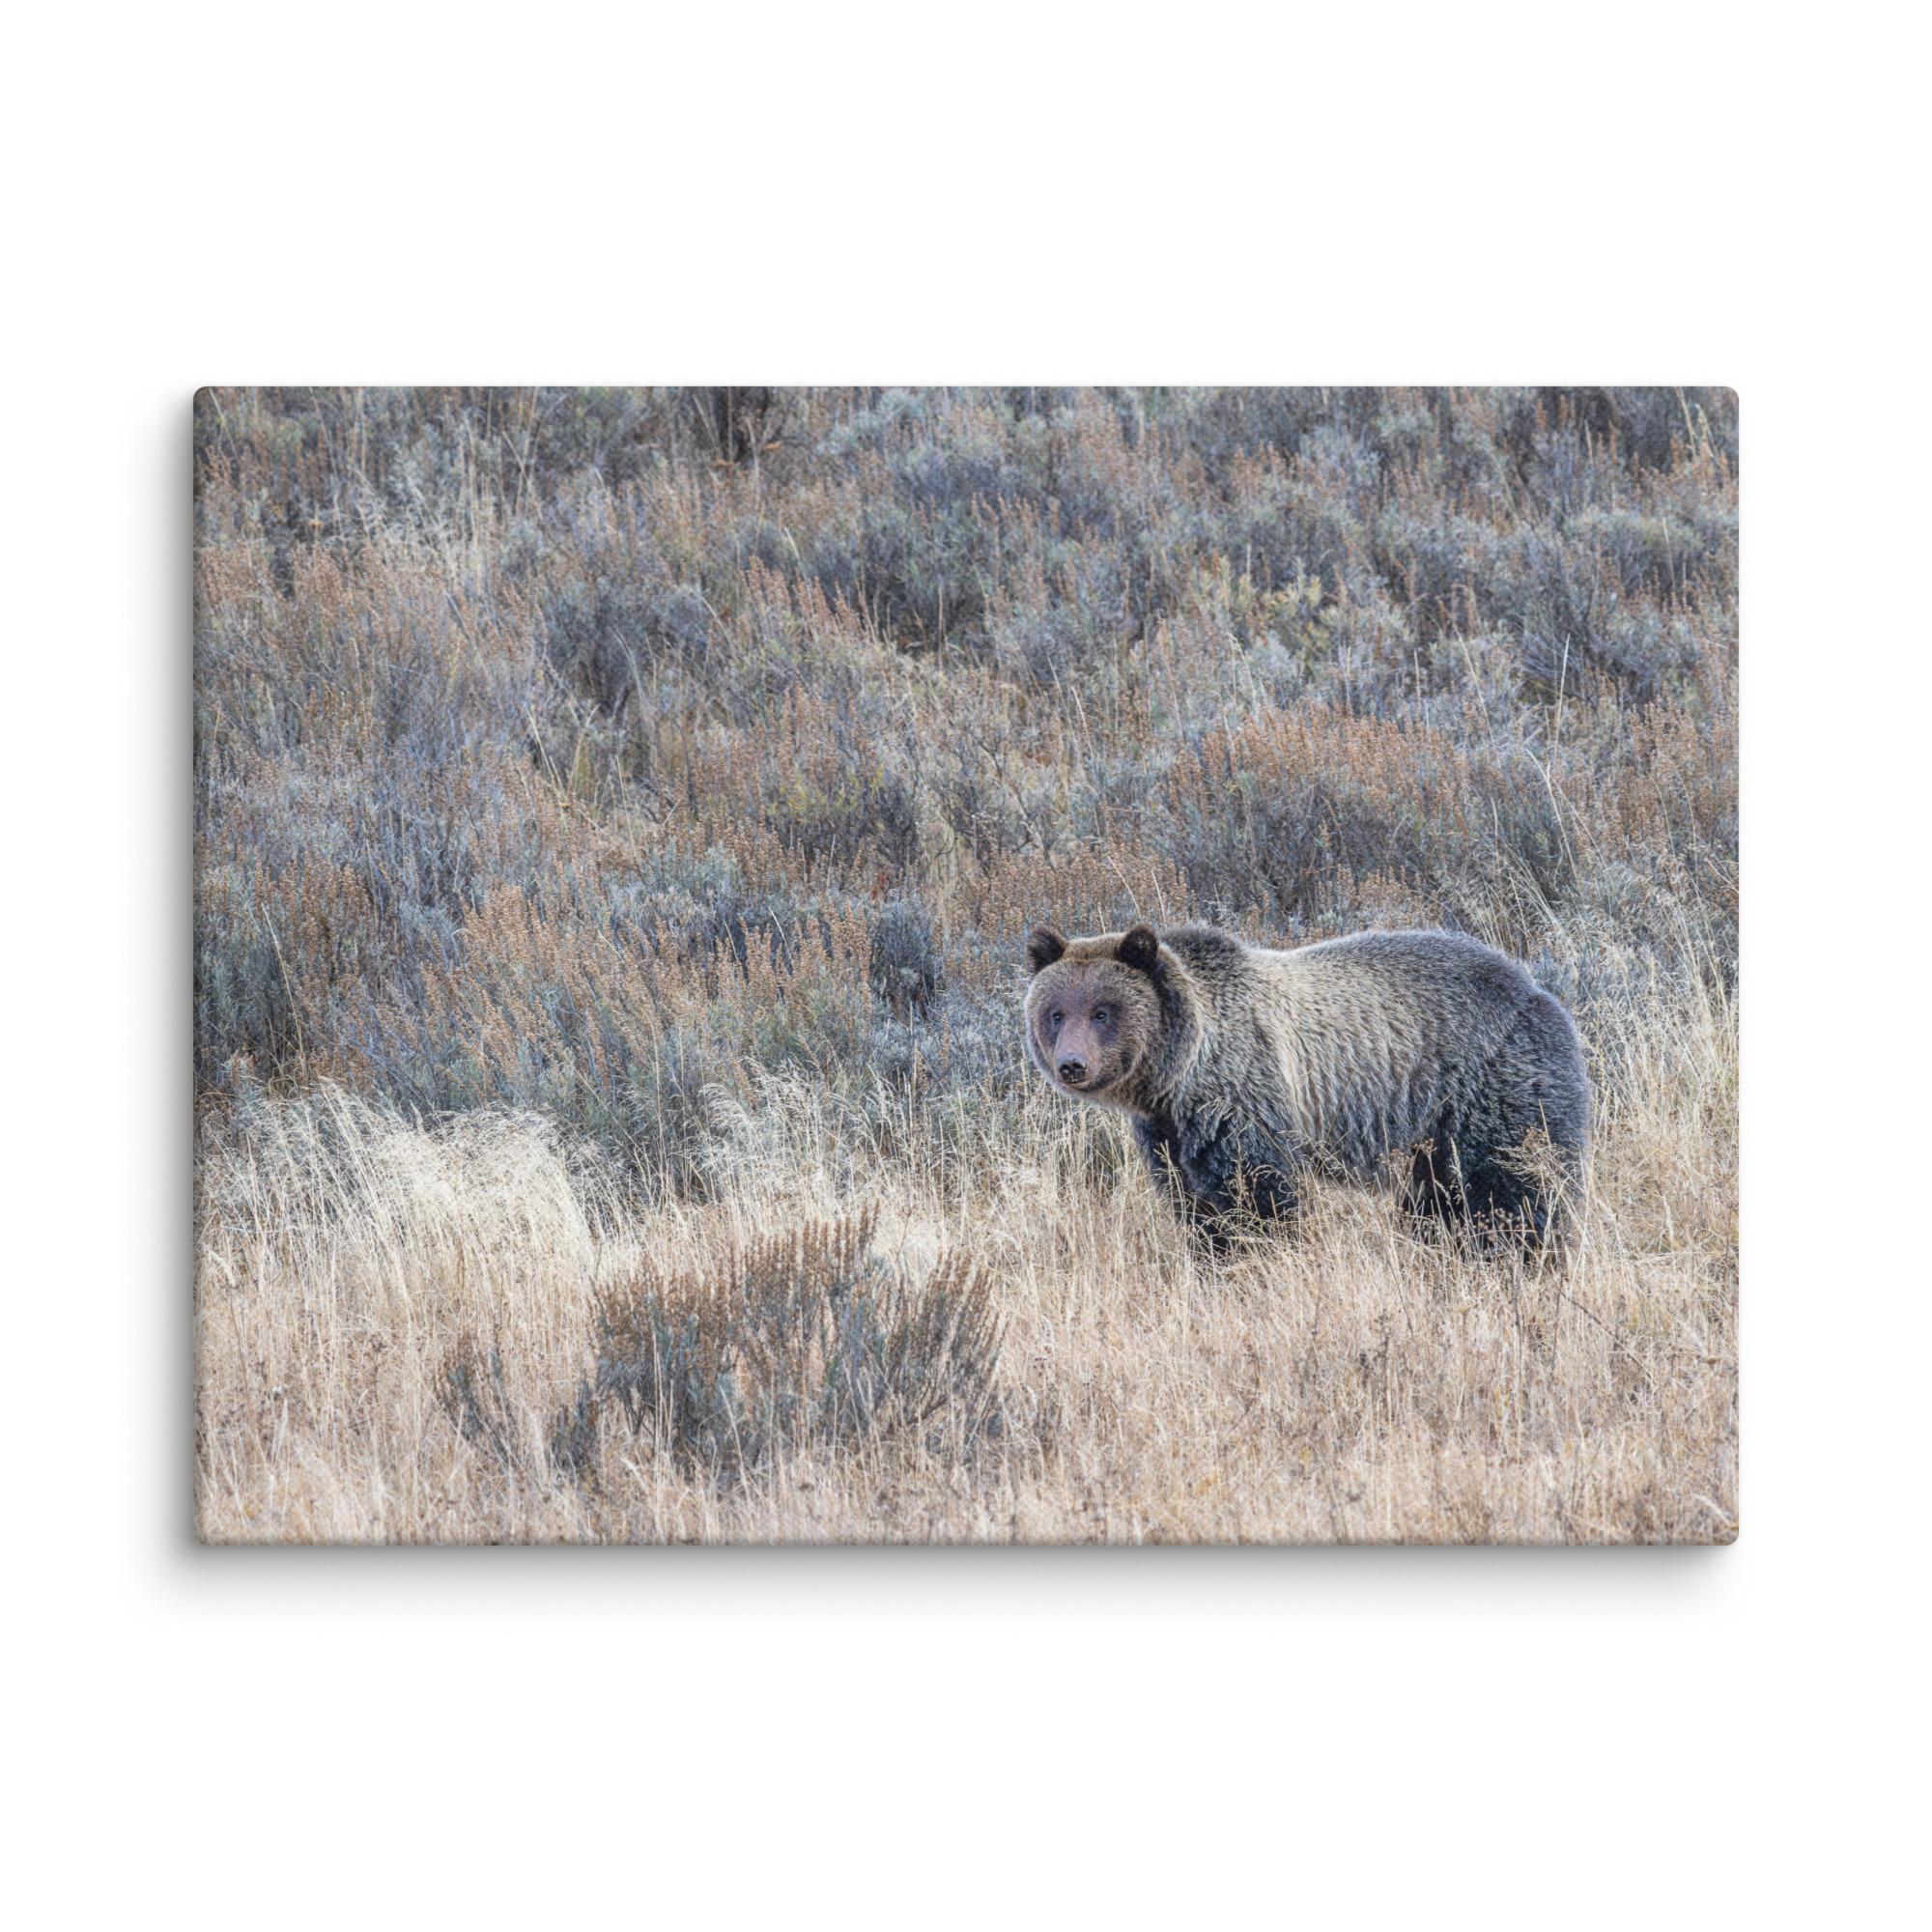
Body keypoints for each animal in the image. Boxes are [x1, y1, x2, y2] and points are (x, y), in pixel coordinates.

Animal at [1024, 921, 1589, 1247]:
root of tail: (1537, 989)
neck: (1177, 1075)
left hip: (1492, 1087)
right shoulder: (1169, 1133)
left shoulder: (1244, 1095)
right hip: (1429, 1137)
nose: (1072, 1065)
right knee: (1437, 1202)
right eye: (1056, 1013)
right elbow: (1194, 1204)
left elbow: (1258, 1196)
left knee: (1513, 1187)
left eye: (1102, 1011)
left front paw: (1258, 1255)